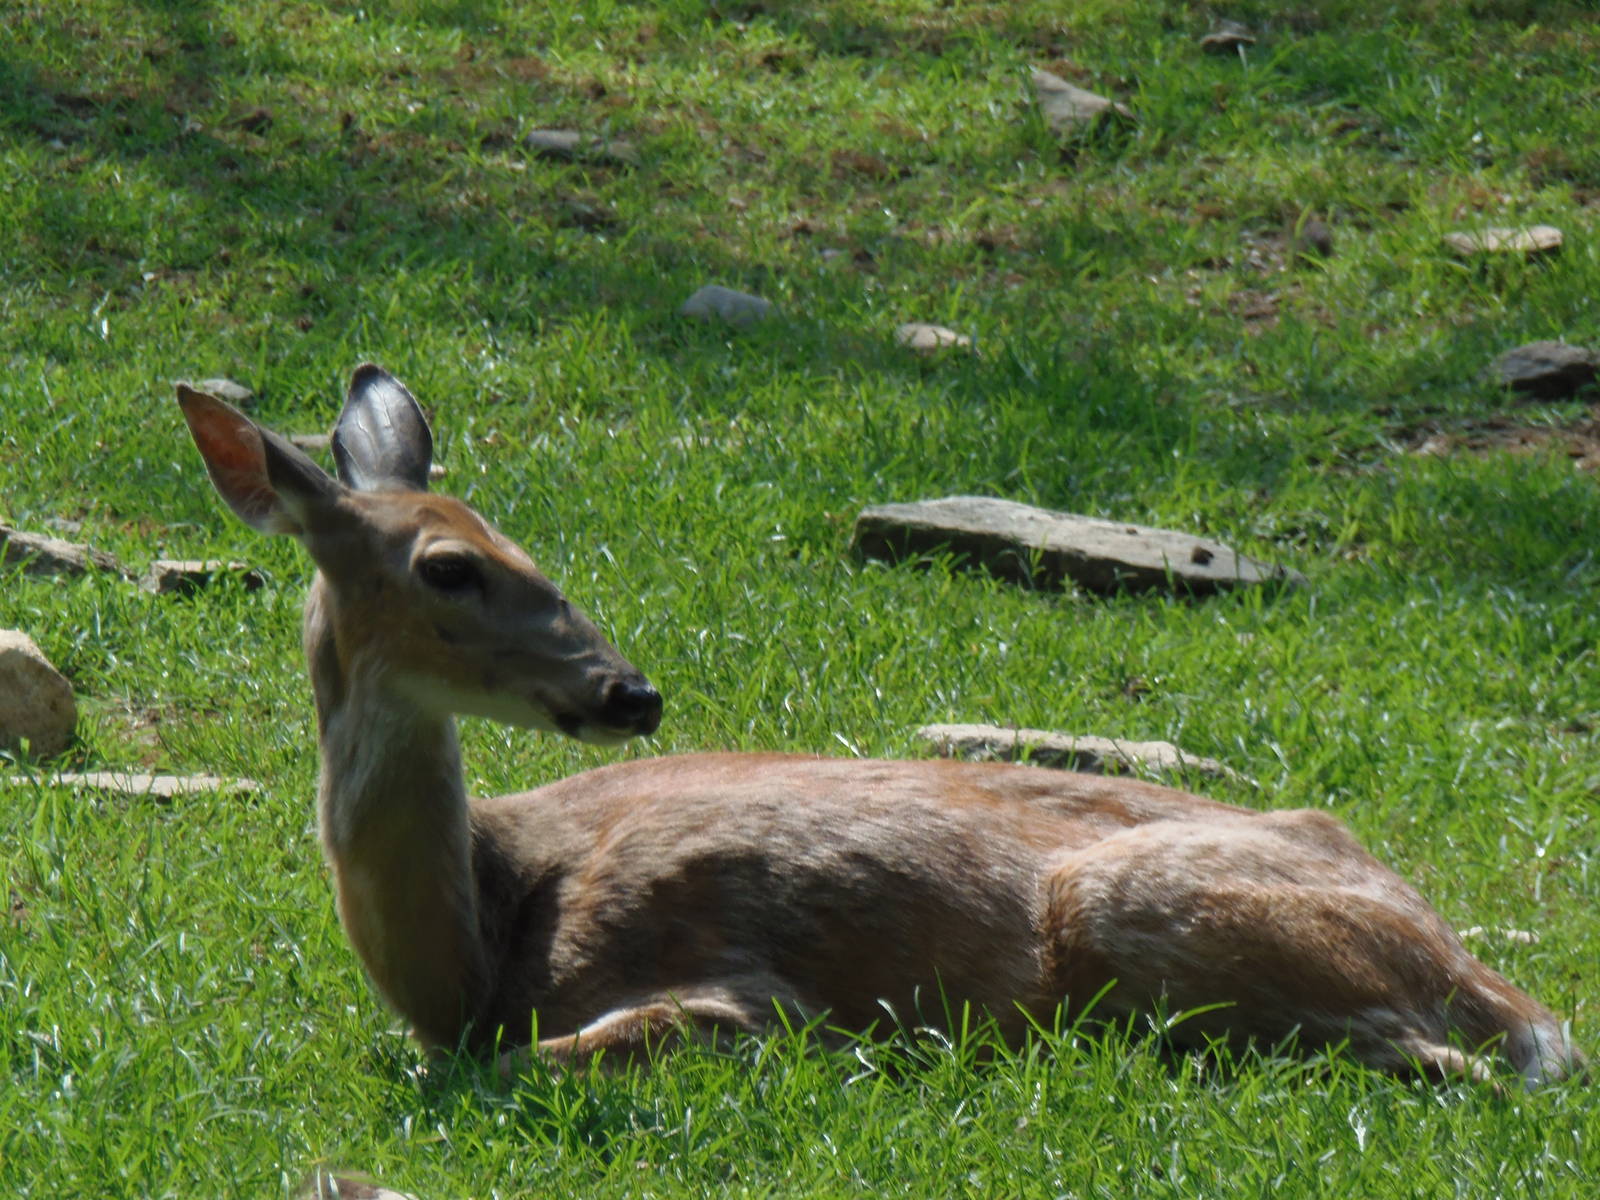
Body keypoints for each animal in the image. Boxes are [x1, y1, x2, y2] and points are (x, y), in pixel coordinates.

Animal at [176, 365, 1582, 1088]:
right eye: (451, 567)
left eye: (522, 546)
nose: (631, 690)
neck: (471, 958)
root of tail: (1487, 980)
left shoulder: (740, 992)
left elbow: (538, 1060)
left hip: (1140, 912)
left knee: (1449, 1064)